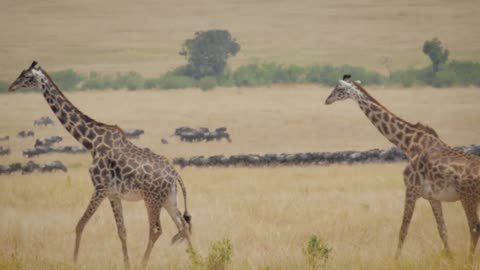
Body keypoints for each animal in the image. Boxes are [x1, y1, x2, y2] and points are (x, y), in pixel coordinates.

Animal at [7, 61, 191, 270]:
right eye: (21, 73)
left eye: (27, 76)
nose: (11, 86)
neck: (92, 144)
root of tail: (174, 174)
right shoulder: (113, 194)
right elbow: (122, 231)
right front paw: (126, 264)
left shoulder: (100, 187)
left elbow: (80, 224)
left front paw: (74, 261)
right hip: (169, 198)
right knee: (183, 226)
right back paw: (195, 259)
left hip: (152, 198)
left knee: (156, 230)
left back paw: (144, 264)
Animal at [324, 75, 480, 260]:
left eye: (339, 89)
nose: (327, 100)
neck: (409, 144)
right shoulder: (433, 196)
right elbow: (442, 230)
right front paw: (450, 258)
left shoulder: (411, 189)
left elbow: (403, 229)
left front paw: (395, 260)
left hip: (468, 197)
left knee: (474, 227)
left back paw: (470, 260)